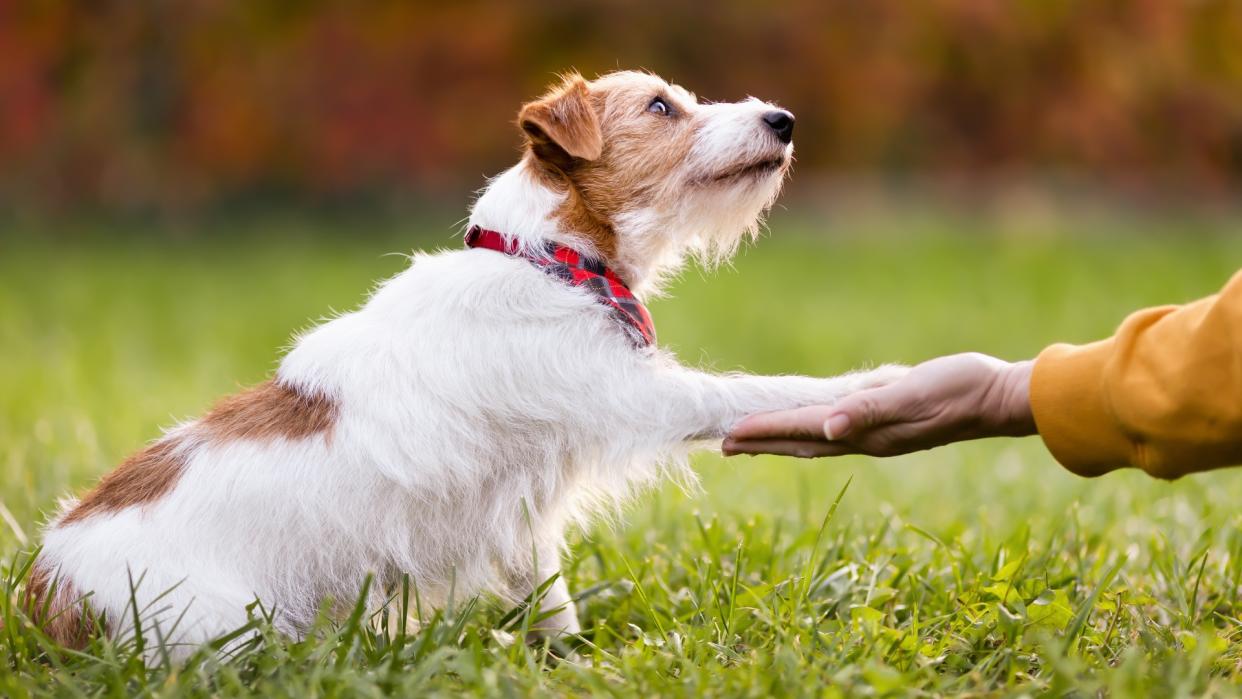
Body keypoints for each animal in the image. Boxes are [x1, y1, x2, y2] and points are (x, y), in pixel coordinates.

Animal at [24, 71, 909, 655]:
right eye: (663, 107)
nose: (783, 118)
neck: (547, 260)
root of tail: (47, 587)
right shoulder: (635, 395)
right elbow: (754, 389)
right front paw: (872, 383)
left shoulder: (525, 518)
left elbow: (549, 598)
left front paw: (569, 661)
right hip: (225, 630)